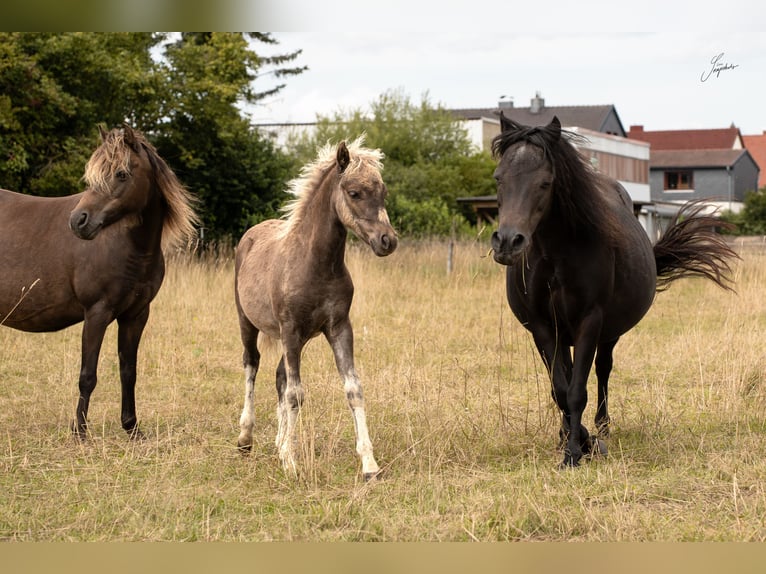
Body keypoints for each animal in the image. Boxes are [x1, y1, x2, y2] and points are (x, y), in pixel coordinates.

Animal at [0, 124, 198, 440]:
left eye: (122, 174)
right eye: (94, 175)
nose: (79, 221)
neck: (128, 246)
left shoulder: (136, 315)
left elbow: (128, 371)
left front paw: (132, 427)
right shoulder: (97, 312)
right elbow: (88, 375)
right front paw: (80, 431)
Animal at [235, 136, 397, 480]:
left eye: (384, 191)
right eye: (354, 192)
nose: (387, 241)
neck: (316, 264)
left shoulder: (338, 327)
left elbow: (353, 389)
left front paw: (369, 465)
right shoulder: (290, 329)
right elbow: (296, 393)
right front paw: (291, 462)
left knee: (279, 375)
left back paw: (279, 442)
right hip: (248, 322)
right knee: (252, 364)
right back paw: (245, 438)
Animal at [490, 114, 738, 467]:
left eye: (545, 183)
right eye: (499, 178)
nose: (508, 242)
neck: (555, 256)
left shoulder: (590, 322)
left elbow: (577, 390)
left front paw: (578, 450)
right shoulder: (543, 328)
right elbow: (560, 389)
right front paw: (575, 441)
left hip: (608, 333)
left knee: (602, 370)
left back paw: (601, 428)